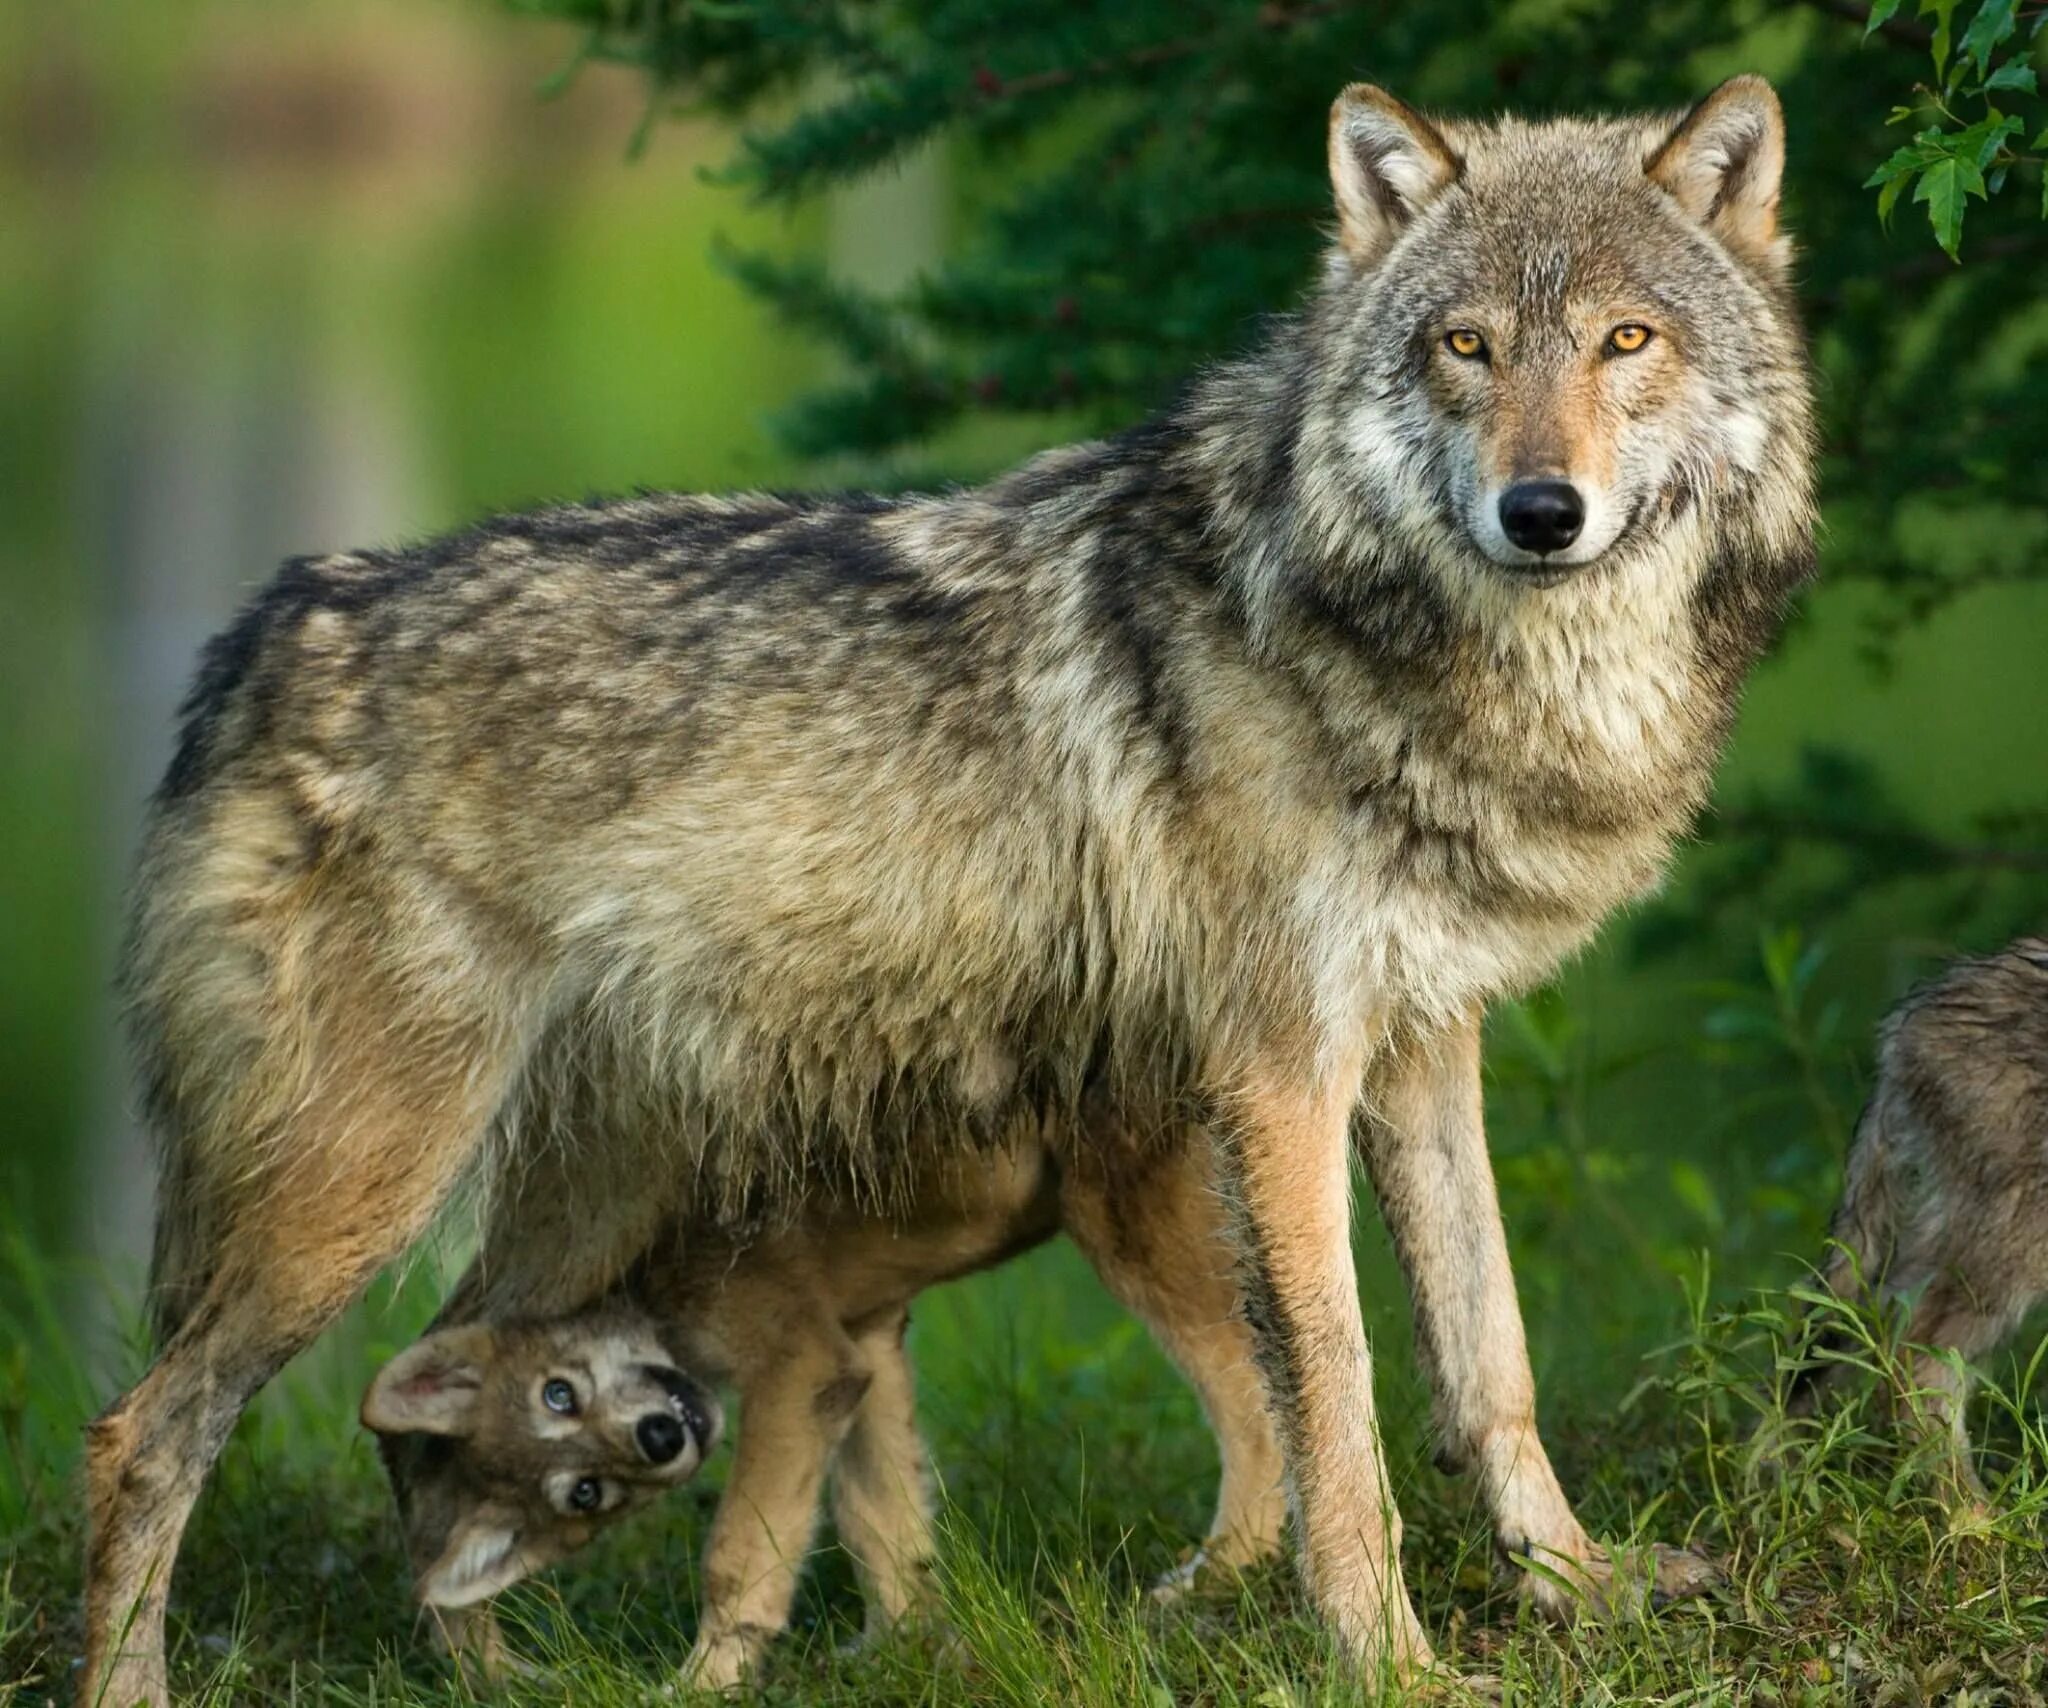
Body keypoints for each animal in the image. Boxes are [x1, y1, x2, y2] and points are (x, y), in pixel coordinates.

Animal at [360, 1114, 1269, 1687]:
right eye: (587, 1493)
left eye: (560, 1393)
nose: (661, 1438)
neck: (650, 1269)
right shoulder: (860, 1354)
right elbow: (884, 1524)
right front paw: (901, 1652)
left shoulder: (799, 1368)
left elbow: (738, 1557)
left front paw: (702, 1684)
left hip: (1136, 1231)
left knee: (1259, 1412)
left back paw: (1212, 1579)